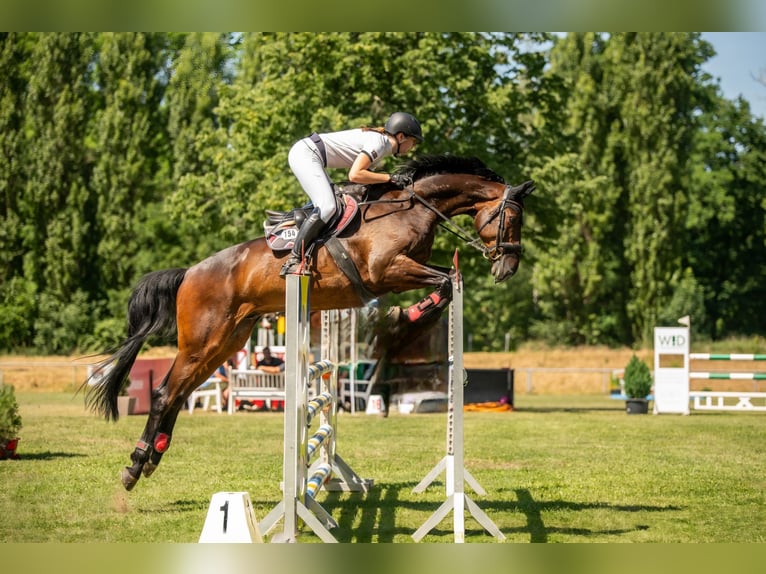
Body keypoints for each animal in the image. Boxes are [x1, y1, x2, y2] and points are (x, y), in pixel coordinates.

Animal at [85, 154, 535, 491]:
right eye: (512, 220)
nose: (508, 268)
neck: (409, 210)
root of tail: (189, 273)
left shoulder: (406, 269)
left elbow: (446, 279)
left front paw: (410, 316)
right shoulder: (387, 270)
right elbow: (441, 281)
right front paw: (408, 317)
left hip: (226, 343)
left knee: (179, 394)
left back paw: (152, 458)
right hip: (201, 341)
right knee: (164, 393)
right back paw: (135, 465)